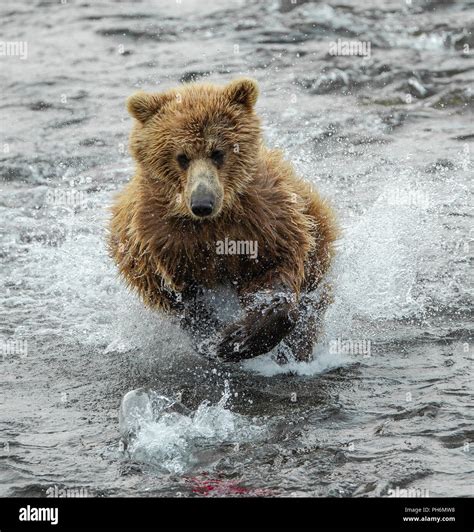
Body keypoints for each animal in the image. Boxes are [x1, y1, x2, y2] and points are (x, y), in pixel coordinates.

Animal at [108, 78, 336, 362]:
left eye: (217, 152)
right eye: (182, 157)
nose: (202, 204)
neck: (214, 224)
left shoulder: (265, 223)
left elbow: (274, 275)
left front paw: (238, 339)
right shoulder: (162, 243)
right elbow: (183, 299)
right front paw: (213, 337)